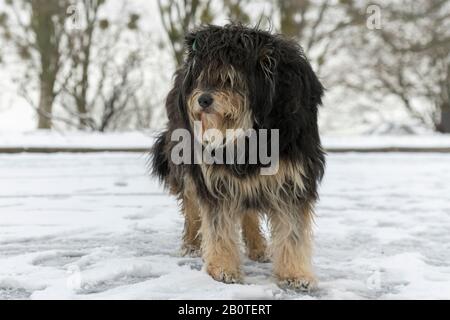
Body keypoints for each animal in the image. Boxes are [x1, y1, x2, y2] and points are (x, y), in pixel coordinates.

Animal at [151, 23, 324, 292]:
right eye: (201, 77)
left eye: (230, 78)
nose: (203, 99)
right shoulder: (214, 174)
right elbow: (218, 225)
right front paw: (222, 269)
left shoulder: (292, 177)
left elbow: (292, 230)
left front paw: (295, 274)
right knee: (192, 205)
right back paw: (191, 244)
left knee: (247, 210)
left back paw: (258, 247)